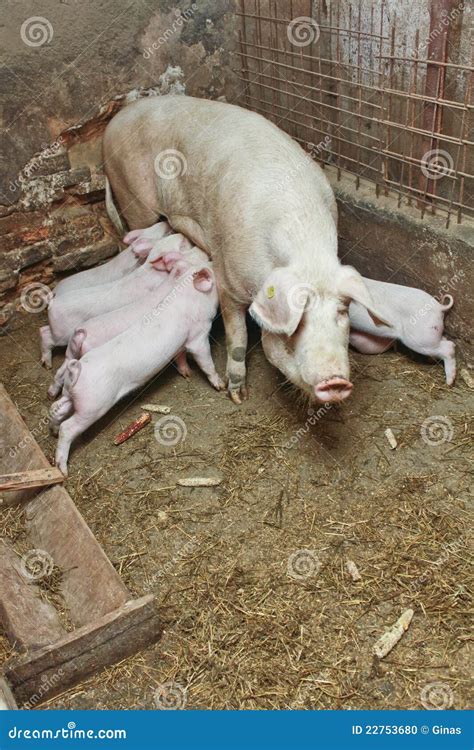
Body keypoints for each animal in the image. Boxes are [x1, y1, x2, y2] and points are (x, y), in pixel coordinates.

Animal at [104, 98, 388, 412]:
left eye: (340, 312)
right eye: (298, 323)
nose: (335, 381)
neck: (305, 252)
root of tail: (118, 117)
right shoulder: (227, 279)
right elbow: (237, 334)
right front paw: (237, 396)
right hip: (132, 196)